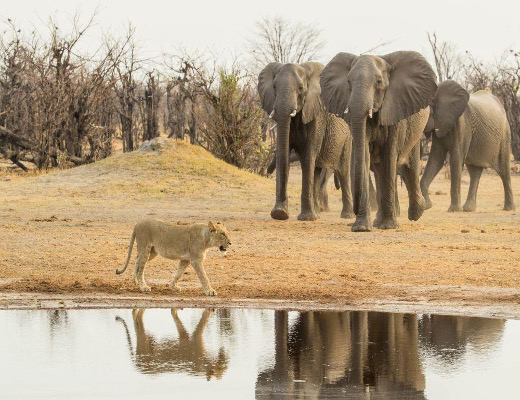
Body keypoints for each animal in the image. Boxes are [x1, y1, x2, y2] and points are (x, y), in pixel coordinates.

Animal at [258, 61, 356, 222]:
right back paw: (317, 213)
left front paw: (306, 218)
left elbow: (308, 156)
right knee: (316, 171)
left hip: (347, 140)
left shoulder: (316, 118)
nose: (281, 213)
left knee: (343, 172)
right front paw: (280, 213)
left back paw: (346, 216)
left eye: (300, 88)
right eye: (274, 87)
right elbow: (284, 154)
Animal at [318, 51, 436, 231]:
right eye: (348, 82)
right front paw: (361, 228)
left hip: (415, 131)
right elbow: (364, 158)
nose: (354, 211)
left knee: (410, 167)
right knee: (379, 171)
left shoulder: (396, 111)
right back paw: (377, 222)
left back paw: (417, 212)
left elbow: (389, 158)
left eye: (379, 82)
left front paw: (388, 227)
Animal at [420, 81, 512, 212]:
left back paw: (509, 208)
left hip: (504, 134)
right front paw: (427, 206)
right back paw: (469, 209)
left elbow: (456, 159)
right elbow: (436, 159)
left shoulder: (462, 125)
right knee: (475, 172)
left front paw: (453, 210)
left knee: (504, 170)